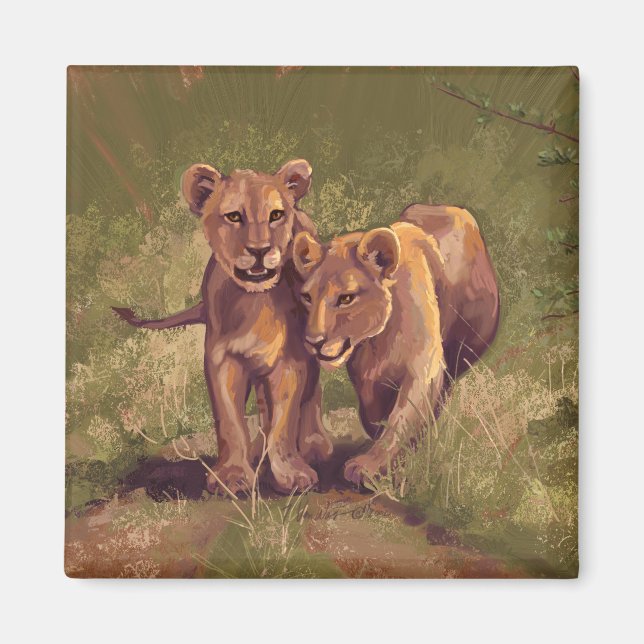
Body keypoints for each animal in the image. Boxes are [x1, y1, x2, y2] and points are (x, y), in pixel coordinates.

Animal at [114, 159, 333, 495]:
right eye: (234, 216)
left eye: (276, 215)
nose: (259, 250)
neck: (256, 302)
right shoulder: (222, 361)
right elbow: (230, 422)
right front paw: (232, 475)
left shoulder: (290, 361)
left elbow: (285, 420)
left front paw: (291, 473)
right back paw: (258, 452)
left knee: (311, 394)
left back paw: (313, 445)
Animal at [292, 204, 499, 485]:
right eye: (307, 297)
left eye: (346, 298)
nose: (313, 342)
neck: (378, 339)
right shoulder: (366, 375)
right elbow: (375, 409)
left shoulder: (424, 367)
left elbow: (402, 417)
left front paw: (368, 466)